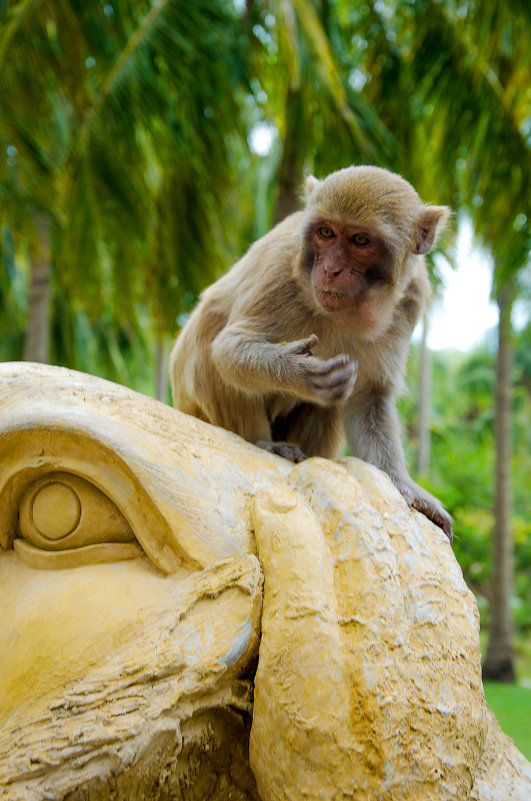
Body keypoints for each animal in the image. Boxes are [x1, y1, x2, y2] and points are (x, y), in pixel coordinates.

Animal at [169, 163, 454, 540]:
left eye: (360, 240)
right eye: (326, 232)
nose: (330, 270)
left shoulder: (412, 297)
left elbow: (369, 398)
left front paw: (403, 486)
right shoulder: (282, 269)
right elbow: (229, 349)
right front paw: (296, 371)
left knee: (331, 403)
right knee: (210, 346)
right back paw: (263, 443)